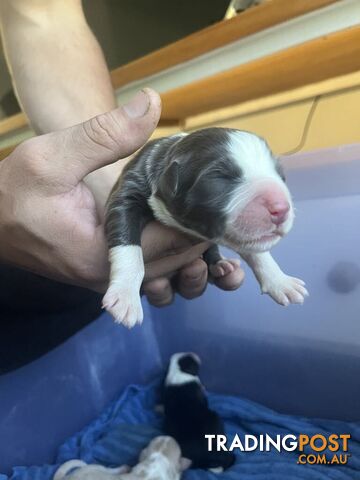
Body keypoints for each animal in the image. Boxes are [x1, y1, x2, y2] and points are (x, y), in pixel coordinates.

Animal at [102, 127, 308, 328]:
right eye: (220, 177)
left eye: (281, 175)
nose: (281, 208)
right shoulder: (127, 193)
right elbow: (128, 247)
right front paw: (125, 296)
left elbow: (259, 254)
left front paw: (281, 282)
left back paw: (220, 264)